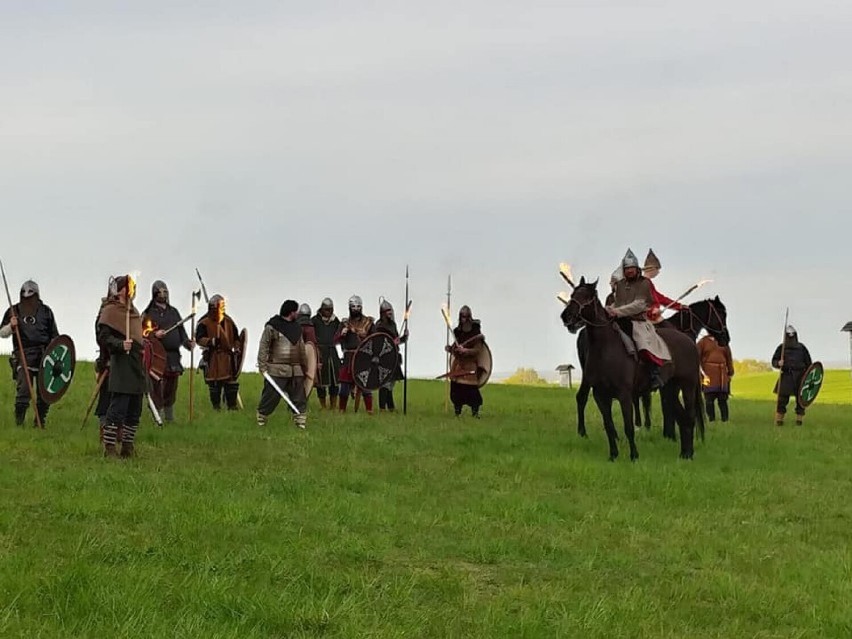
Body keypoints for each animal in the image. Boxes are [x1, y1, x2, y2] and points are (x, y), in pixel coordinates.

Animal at [564, 278, 704, 462]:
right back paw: (685, 453)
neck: (605, 348)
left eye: (587, 297)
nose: (566, 316)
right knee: (682, 419)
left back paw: (689, 453)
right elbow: (609, 426)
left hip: (687, 385)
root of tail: (689, 342)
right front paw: (613, 455)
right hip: (670, 389)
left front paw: (634, 456)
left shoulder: (624, 395)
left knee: (689, 417)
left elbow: (629, 426)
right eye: (573, 294)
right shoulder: (601, 396)